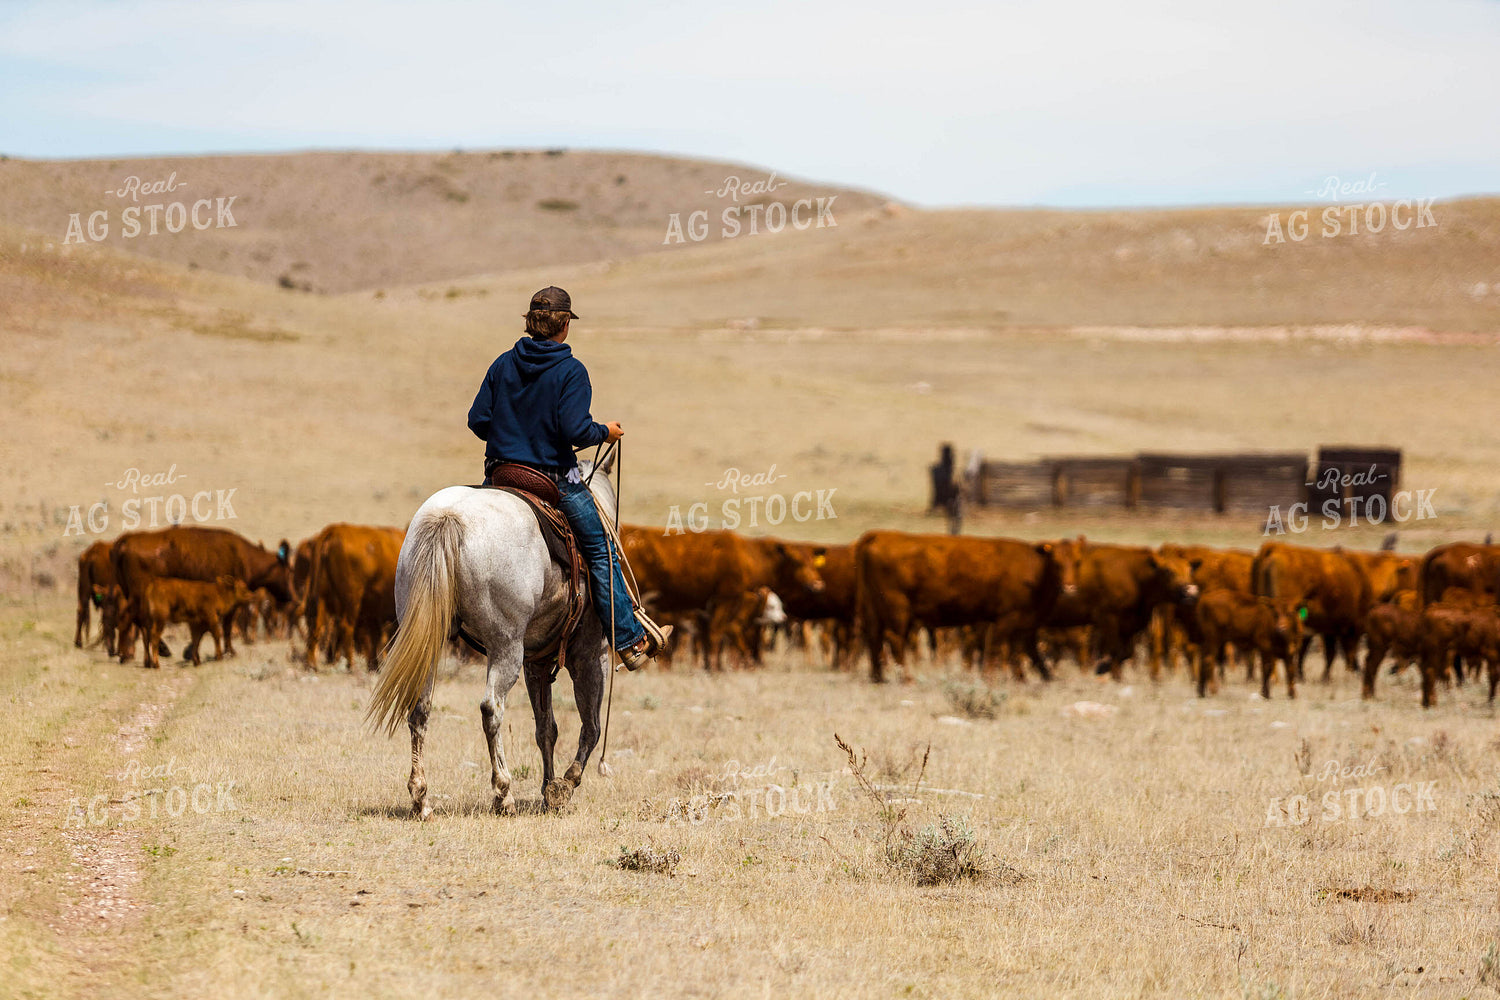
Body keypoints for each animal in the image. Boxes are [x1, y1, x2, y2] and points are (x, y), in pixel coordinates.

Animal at [110, 526, 292, 663]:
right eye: (288, 570)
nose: (290, 596)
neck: (245, 557)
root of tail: (126, 540)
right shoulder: (228, 604)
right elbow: (225, 627)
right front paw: (230, 652)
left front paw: (190, 652)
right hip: (138, 596)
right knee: (130, 619)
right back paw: (125, 655)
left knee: (137, 622)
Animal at [852, 531, 1085, 683]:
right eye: (1056, 563)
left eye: (1077, 561)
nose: (1070, 587)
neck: (1034, 569)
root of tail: (881, 536)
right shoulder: (1006, 618)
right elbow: (997, 648)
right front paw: (990, 678)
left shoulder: (1024, 623)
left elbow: (1020, 651)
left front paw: (1024, 678)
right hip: (897, 609)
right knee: (894, 639)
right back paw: (906, 678)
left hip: (875, 609)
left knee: (874, 636)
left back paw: (877, 677)